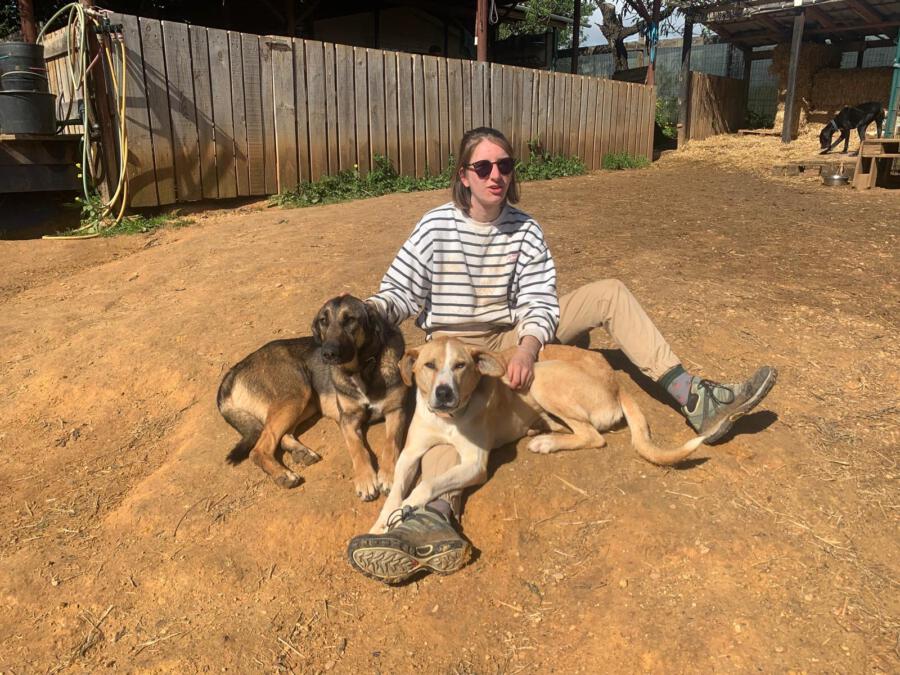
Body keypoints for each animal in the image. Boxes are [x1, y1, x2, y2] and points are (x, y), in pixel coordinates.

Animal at [217, 295, 408, 499]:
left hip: (306, 402)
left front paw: (389, 476)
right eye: (323, 321)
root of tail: (237, 367)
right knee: (259, 448)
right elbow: (358, 449)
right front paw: (365, 480)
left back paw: (301, 452)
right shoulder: (347, 420)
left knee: (279, 435)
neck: (363, 369)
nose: (327, 353)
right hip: (297, 394)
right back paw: (283, 474)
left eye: (350, 320)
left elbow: (391, 444)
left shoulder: (396, 411)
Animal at [370, 338, 707, 533]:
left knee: (593, 435)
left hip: (543, 375)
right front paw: (381, 522)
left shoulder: (474, 464)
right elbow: (396, 488)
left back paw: (546, 442)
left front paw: (404, 509)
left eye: (460, 366)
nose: (443, 393)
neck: (446, 420)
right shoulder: (410, 453)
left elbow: (426, 484)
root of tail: (616, 381)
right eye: (429, 365)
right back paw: (540, 427)